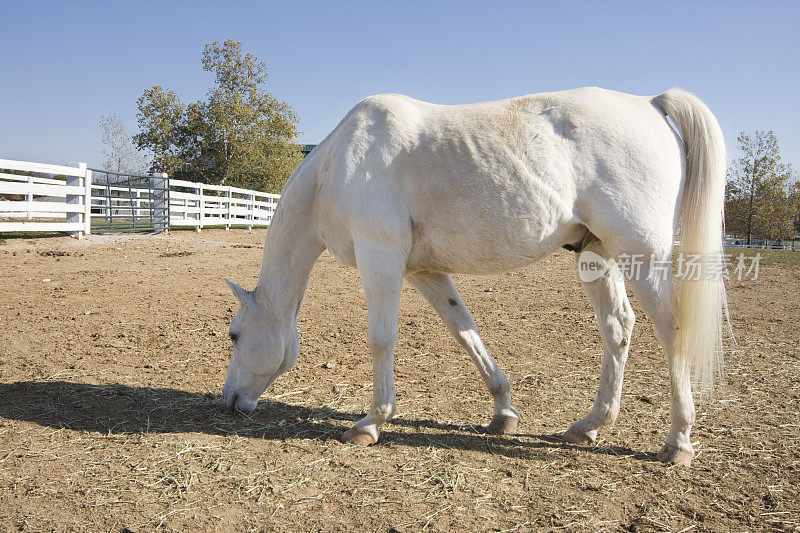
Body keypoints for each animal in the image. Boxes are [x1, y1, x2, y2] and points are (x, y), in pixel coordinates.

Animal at [223, 88, 724, 466]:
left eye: (234, 335)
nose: (227, 400)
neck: (338, 164)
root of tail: (649, 103)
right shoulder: (424, 271)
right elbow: (464, 331)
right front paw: (503, 411)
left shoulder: (380, 257)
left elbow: (382, 339)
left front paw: (371, 423)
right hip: (596, 256)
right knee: (618, 328)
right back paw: (588, 427)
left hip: (642, 256)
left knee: (671, 331)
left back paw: (678, 442)